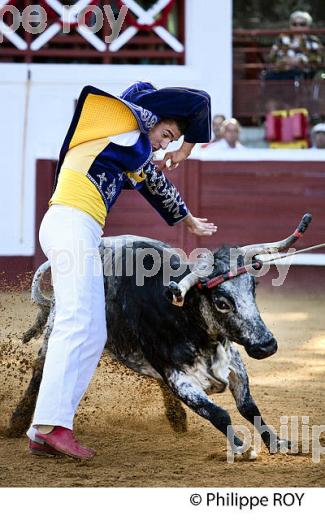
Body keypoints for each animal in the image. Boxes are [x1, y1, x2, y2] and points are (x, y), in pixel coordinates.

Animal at [8, 214, 312, 460]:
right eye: (222, 302)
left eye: (253, 288)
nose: (267, 344)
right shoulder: (178, 376)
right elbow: (219, 413)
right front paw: (241, 448)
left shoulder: (233, 364)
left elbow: (249, 407)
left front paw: (279, 443)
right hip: (55, 332)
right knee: (40, 374)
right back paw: (17, 424)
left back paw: (177, 419)